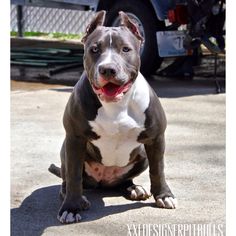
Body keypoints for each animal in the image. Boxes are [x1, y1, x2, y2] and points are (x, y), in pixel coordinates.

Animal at [48, 10, 176, 223]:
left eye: (125, 49)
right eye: (94, 49)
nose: (108, 69)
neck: (116, 104)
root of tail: (103, 182)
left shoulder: (156, 138)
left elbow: (158, 169)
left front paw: (164, 196)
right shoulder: (75, 138)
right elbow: (74, 176)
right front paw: (71, 207)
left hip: (142, 155)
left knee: (124, 180)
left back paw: (134, 188)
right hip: (65, 150)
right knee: (68, 179)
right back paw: (78, 198)